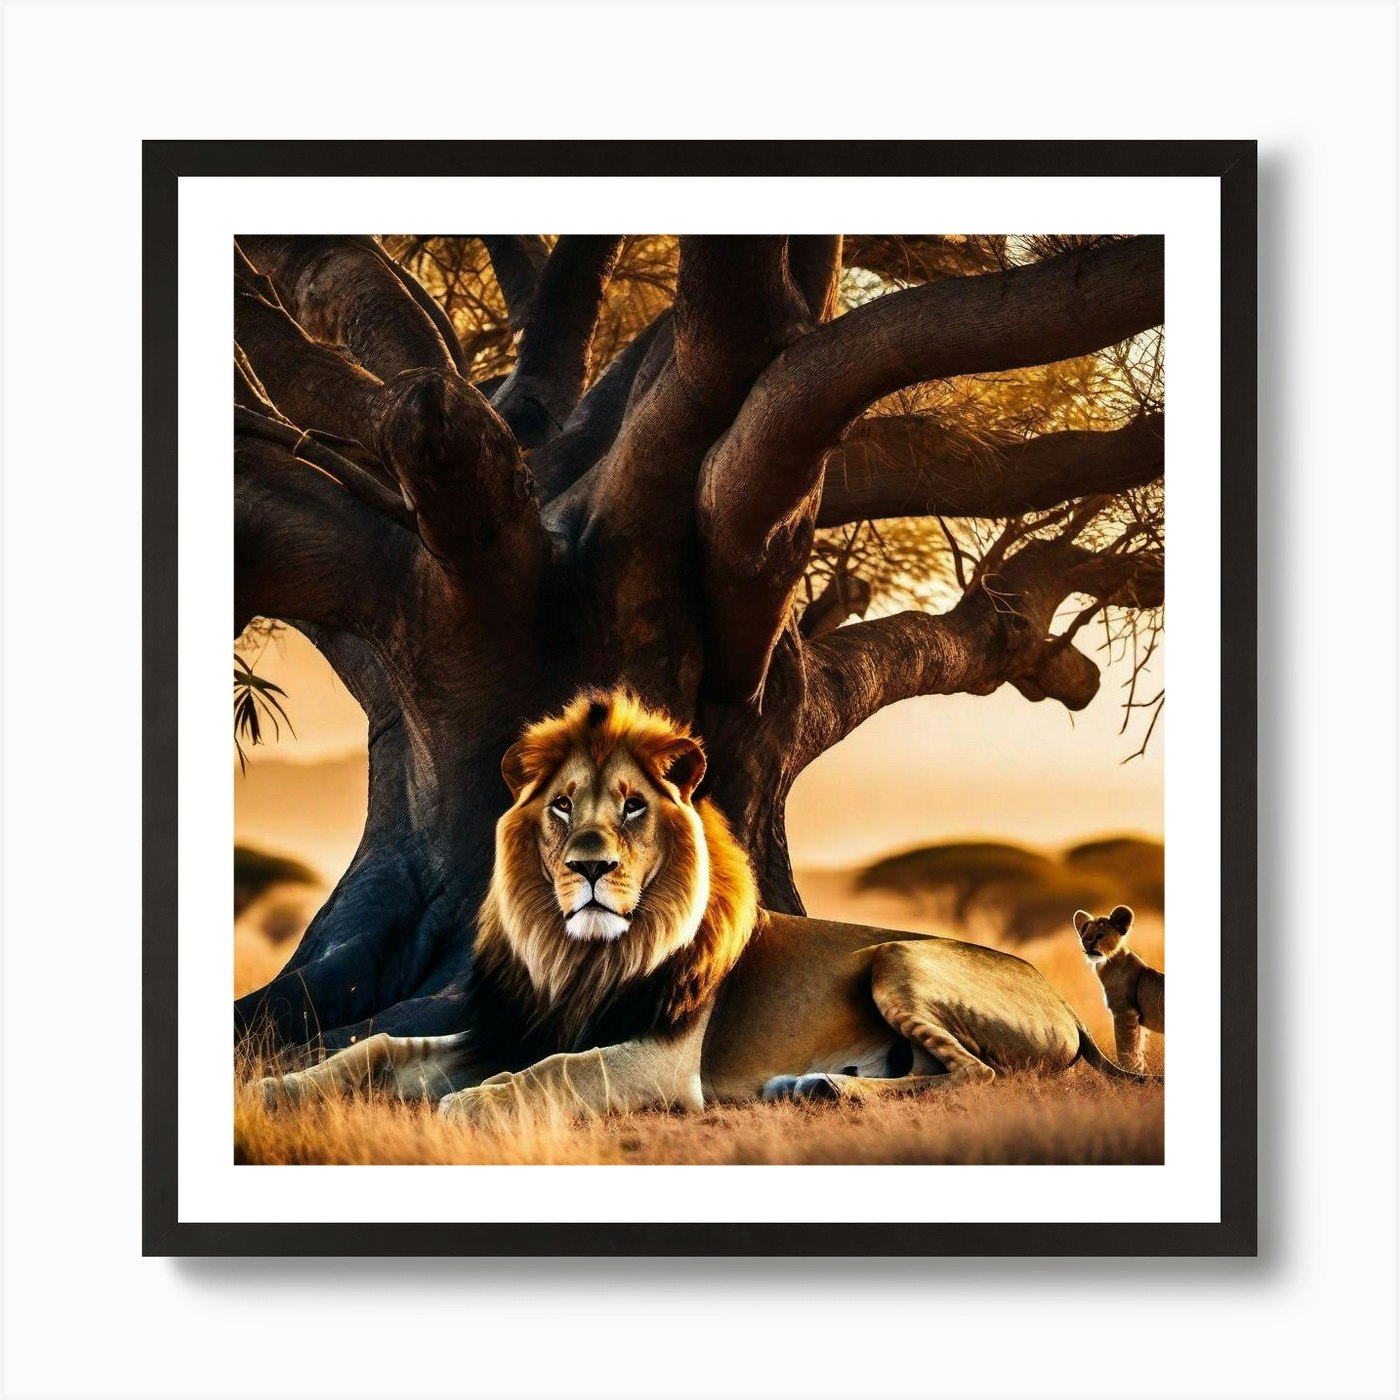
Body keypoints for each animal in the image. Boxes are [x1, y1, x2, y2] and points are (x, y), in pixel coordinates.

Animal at [258, 690, 1154, 1122]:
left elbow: (562, 1070)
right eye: (561, 806)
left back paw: (822, 1091)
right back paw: (812, 1084)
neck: (580, 957)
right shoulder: (506, 1027)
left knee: (977, 1076)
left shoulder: (658, 1058)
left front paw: (476, 1104)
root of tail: (1058, 1000)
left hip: (899, 956)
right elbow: (379, 1048)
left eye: (632, 808)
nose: (590, 866)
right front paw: (280, 1089)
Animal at [1073, 906, 1165, 1073]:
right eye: (1084, 936)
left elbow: (1125, 1050)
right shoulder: (1137, 1020)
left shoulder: (1125, 1012)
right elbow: (1138, 1049)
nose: (1087, 944)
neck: (1109, 964)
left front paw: (1131, 1073)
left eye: (1100, 935)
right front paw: (1141, 1072)